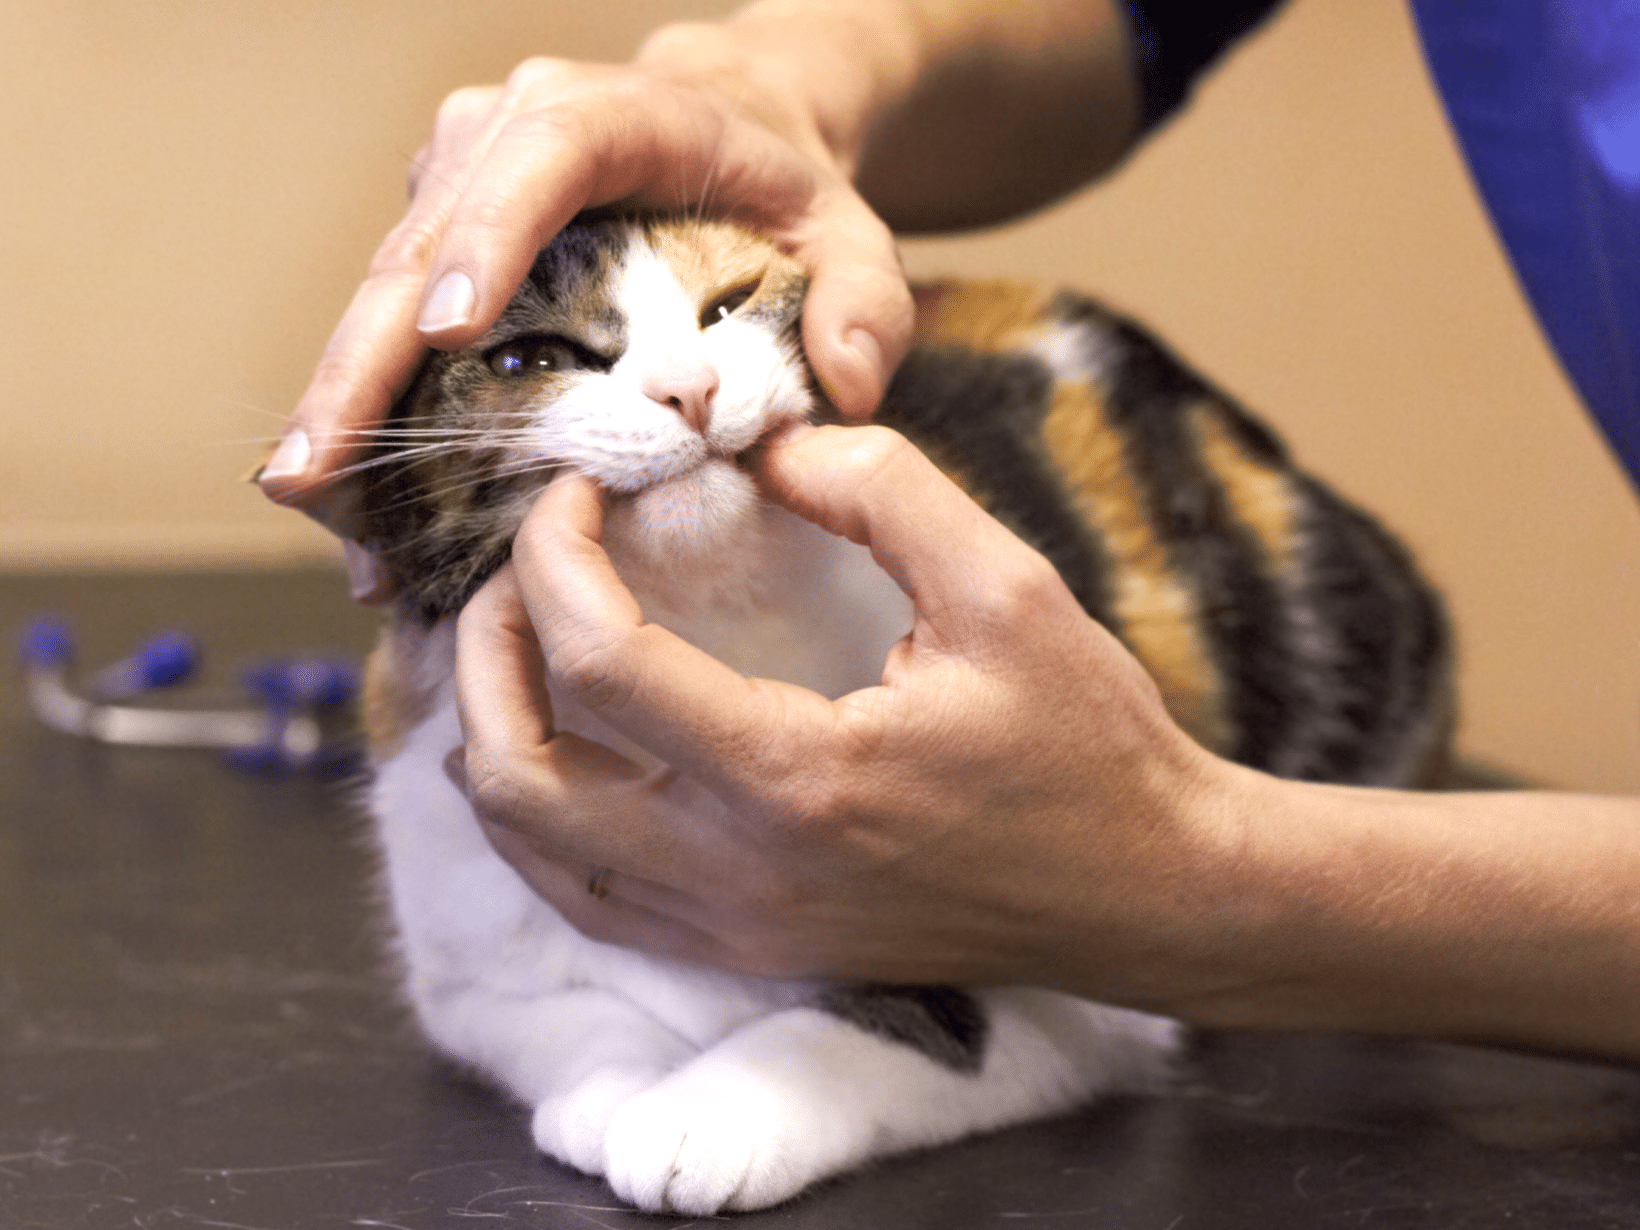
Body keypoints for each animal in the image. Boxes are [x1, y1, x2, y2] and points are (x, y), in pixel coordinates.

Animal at [349, 216, 1449, 1220]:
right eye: (529, 358)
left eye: (727, 305)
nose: (689, 388)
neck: (712, 630)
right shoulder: (461, 945)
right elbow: (568, 1017)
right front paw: (618, 1091)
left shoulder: (1087, 982)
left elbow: (905, 1018)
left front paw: (712, 1112)